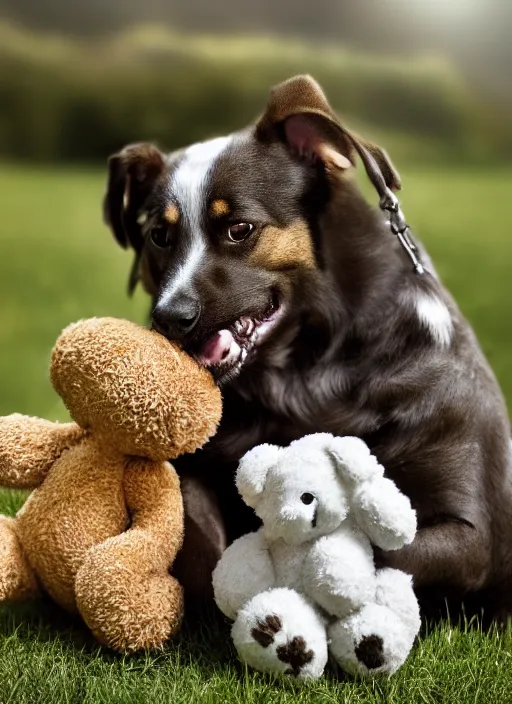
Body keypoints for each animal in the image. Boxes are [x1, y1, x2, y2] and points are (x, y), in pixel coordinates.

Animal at [103, 73, 512, 620]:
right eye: (160, 237)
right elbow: (202, 547)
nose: (168, 319)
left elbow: (381, 549)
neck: (305, 379)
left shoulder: (473, 537)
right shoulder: (194, 470)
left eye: (239, 228)